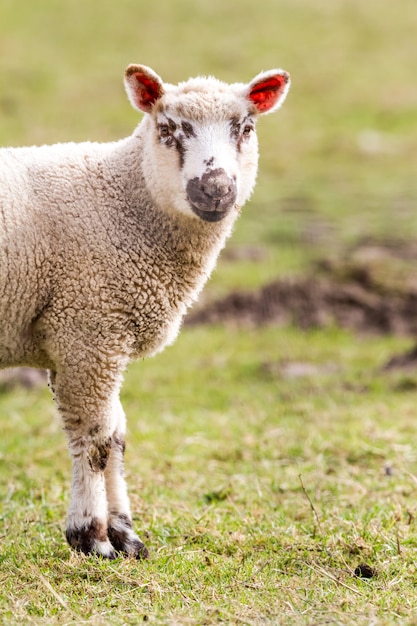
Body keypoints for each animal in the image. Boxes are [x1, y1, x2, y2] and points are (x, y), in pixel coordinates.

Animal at [0, 62, 290, 556]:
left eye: (246, 128)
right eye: (168, 129)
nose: (215, 188)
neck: (123, 199)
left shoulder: (97, 334)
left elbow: (117, 435)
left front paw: (125, 535)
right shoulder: (88, 329)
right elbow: (95, 437)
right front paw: (91, 537)